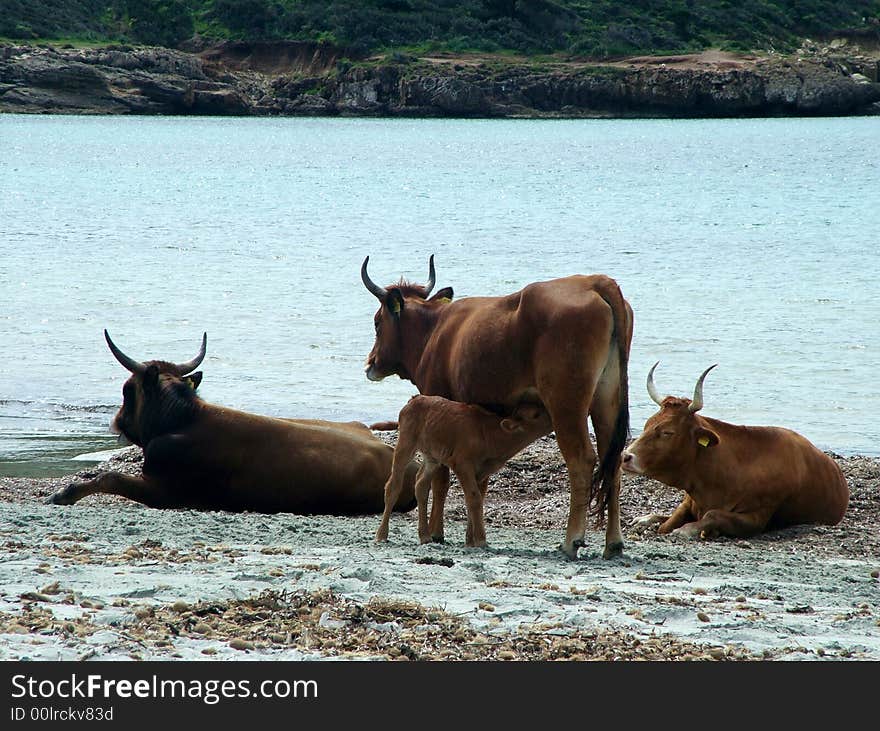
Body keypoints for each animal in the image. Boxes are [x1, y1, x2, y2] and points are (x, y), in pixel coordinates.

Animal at [376, 398, 552, 548]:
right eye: (535, 414)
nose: (552, 418)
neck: (489, 434)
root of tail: (414, 399)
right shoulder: (462, 463)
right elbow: (474, 497)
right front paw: (481, 540)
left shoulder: (481, 471)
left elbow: (474, 498)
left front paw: (470, 540)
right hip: (405, 444)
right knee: (393, 485)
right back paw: (382, 535)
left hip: (432, 457)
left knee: (421, 485)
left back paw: (425, 536)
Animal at [624, 364, 848, 540]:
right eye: (646, 425)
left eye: (668, 432)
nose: (626, 456)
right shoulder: (690, 501)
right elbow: (670, 520)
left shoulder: (757, 517)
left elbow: (713, 515)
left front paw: (687, 530)